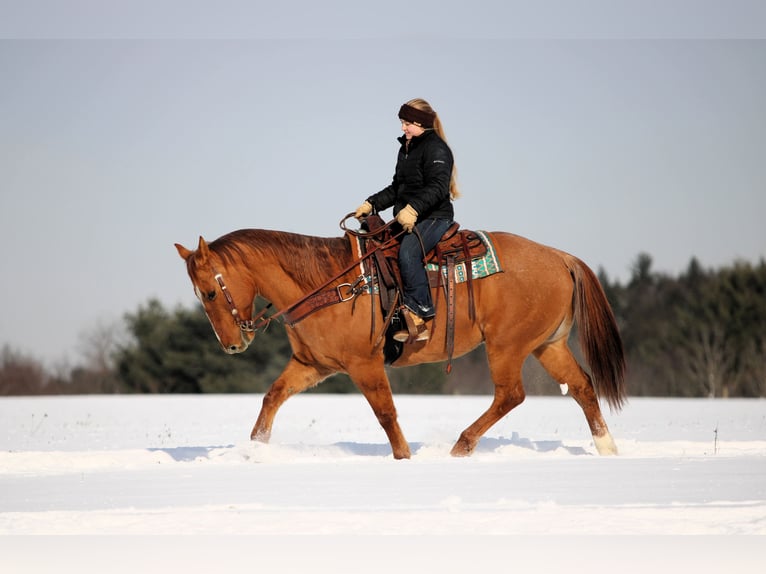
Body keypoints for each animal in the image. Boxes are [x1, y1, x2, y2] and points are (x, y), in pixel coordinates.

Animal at [175, 220, 626, 459]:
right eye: (198, 294)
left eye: (210, 292)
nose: (233, 344)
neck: (329, 282)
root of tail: (561, 258)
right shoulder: (313, 365)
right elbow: (272, 396)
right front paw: (254, 449)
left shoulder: (364, 364)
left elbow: (386, 413)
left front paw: (404, 457)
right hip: (547, 345)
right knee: (582, 386)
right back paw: (607, 449)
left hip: (507, 347)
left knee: (511, 394)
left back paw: (461, 445)